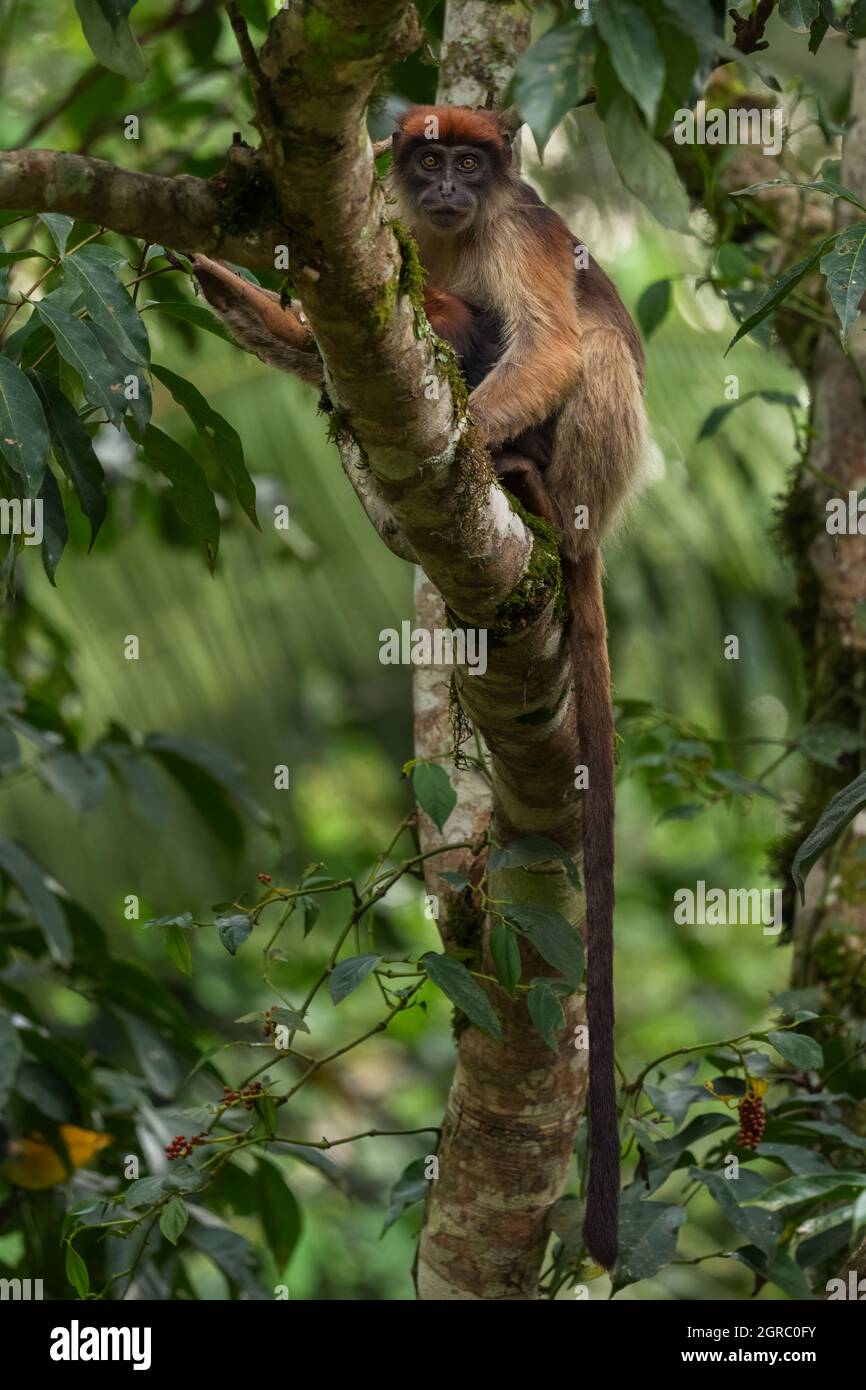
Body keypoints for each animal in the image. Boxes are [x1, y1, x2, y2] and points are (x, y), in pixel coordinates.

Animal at [191, 100, 650, 1273]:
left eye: (470, 166)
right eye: (427, 159)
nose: (443, 186)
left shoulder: (518, 229)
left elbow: (549, 342)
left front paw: (476, 441)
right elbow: (342, 325)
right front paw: (231, 290)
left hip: (597, 471)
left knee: (588, 353)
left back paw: (524, 486)